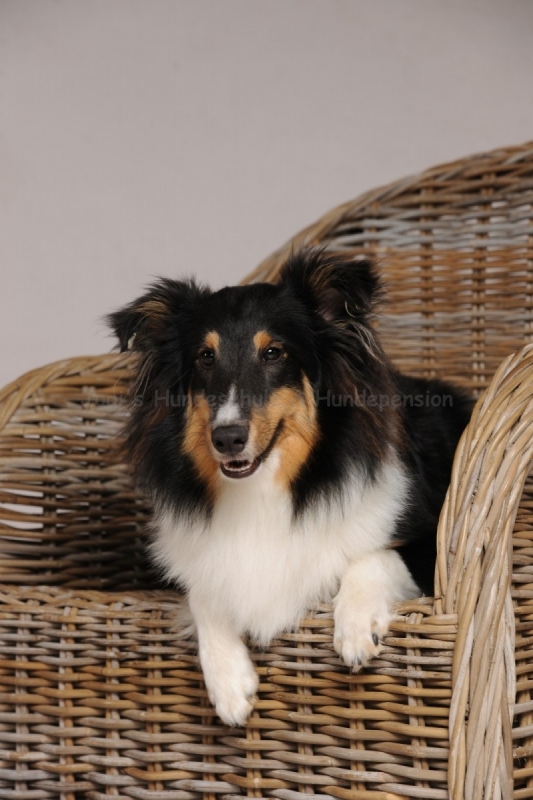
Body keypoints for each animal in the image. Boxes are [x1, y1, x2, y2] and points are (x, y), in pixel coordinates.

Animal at [108, 247, 473, 726]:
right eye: (205, 357)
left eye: (273, 353)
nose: (227, 438)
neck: (264, 490)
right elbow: (203, 591)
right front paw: (228, 685)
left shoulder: (425, 545)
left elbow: (374, 555)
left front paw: (356, 627)